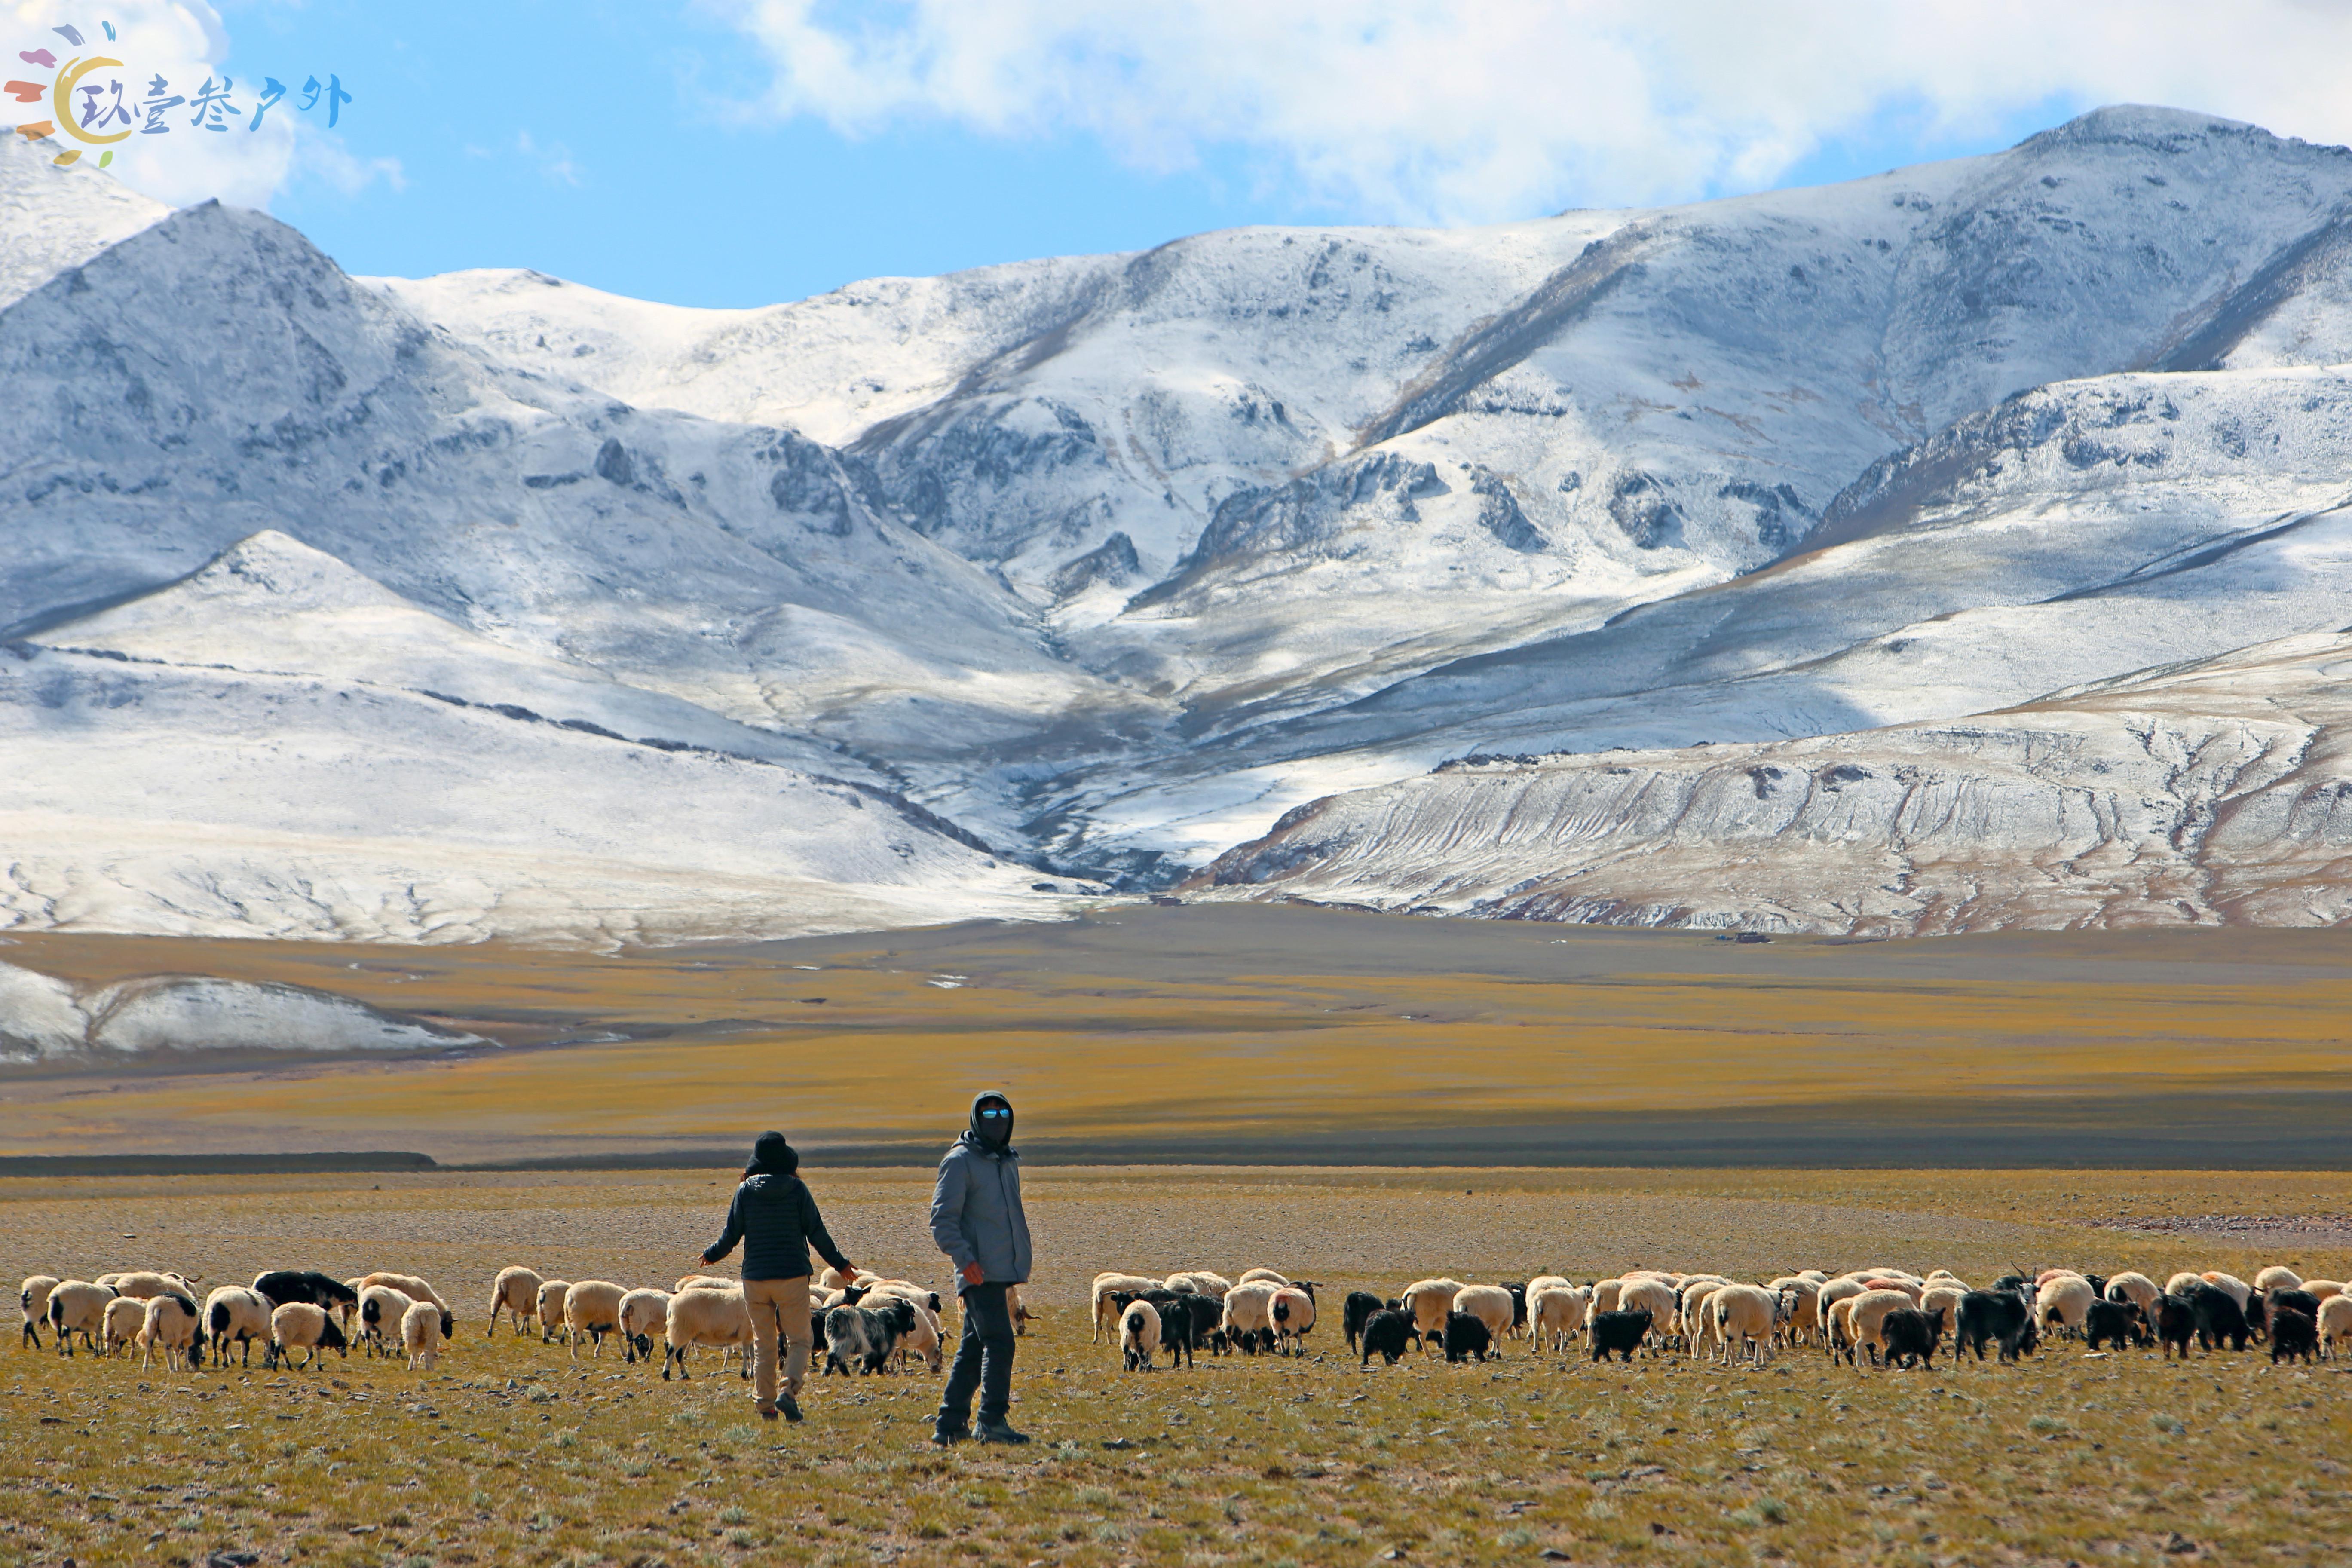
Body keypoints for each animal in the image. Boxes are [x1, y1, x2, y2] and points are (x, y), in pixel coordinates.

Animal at [489, 1260, 543, 1335]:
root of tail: (504, 1281)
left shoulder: (528, 1306)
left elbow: (527, 1318)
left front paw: (527, 1330)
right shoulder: (529, 1304)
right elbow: (526, 1318)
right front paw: (524, 1330)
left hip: (498, 1295)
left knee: (494, 1314)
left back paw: (489, 1333)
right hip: (518, 1300)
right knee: (513, 1317)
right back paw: (517, 1333)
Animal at [1115, 1298, 1162, 1373]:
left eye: (1133, 1359)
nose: (1131, 1369)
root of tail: (1136, 1314)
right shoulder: (1153, 1343)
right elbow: (1149, 1354)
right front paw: (1149, 1366)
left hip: (1126, 1333)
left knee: (1126, 1349)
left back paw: (1125, 1368)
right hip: (1145, 1335)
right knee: (1141, 1352)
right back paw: (1141, 1368)